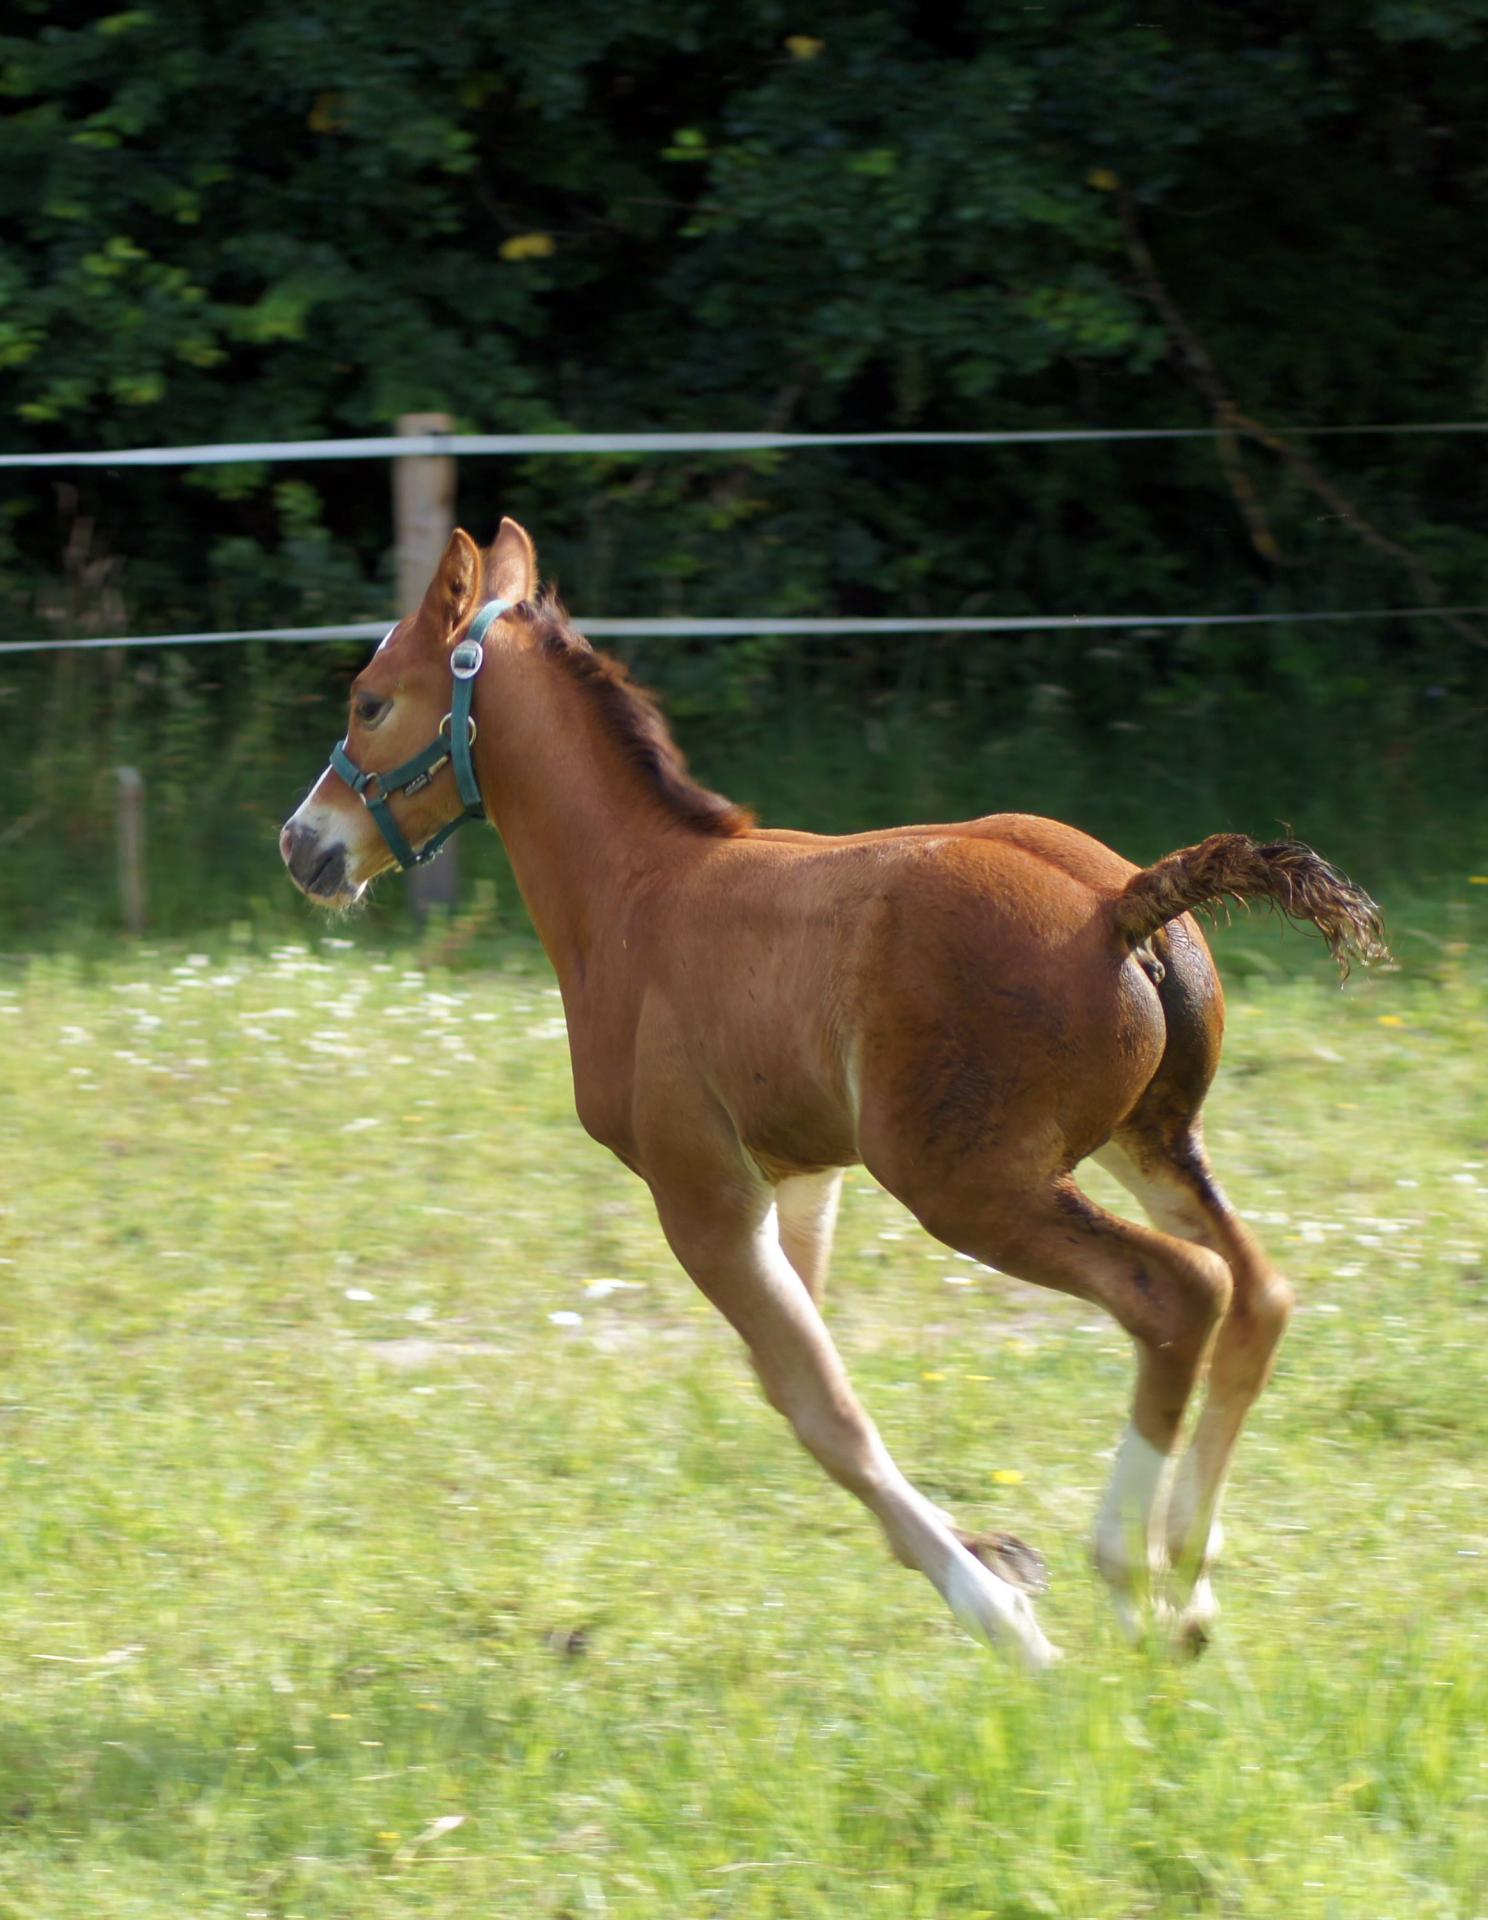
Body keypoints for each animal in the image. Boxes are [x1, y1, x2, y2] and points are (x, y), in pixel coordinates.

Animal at [286, 526, 1390, 1666]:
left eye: (370, 701)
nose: (303, 844)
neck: (637, 890)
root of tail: (1116, 906)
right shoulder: (803, 1176)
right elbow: (807, 1370)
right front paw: (991, 1553)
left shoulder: (701, 1194)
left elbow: (822, 1409)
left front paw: (1000, 1615)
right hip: (1154, 1136)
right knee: (1258, 1292)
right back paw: (1189, 1576)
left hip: (970, 1186)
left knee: (1179, 1293)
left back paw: (1130, 1573)